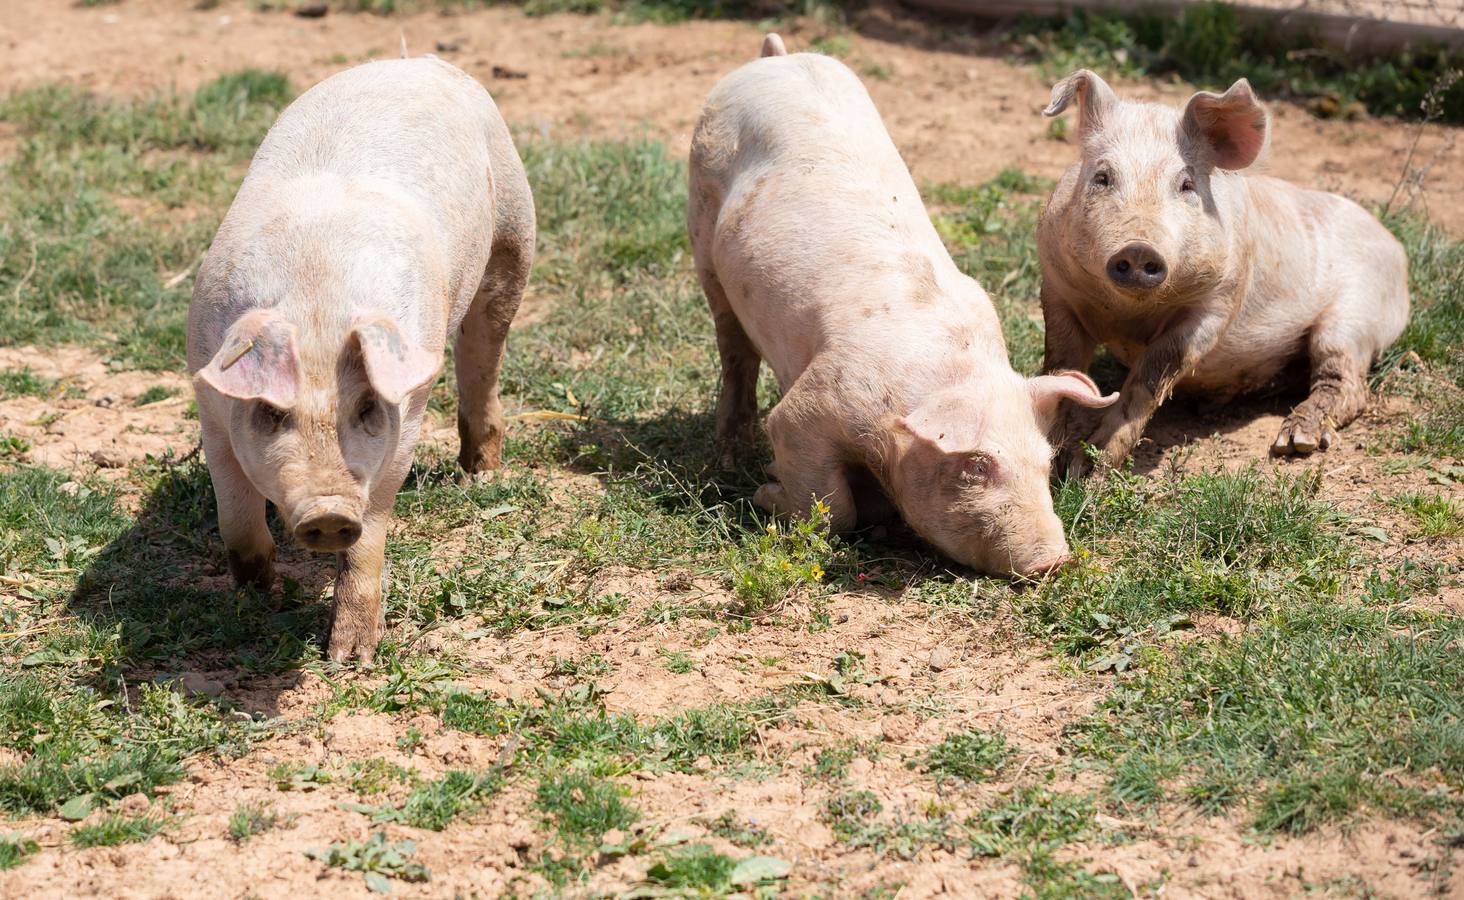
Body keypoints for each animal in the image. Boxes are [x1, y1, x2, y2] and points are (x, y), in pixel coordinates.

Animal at [185, 56, 535, 661]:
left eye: (368, 407)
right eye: (272, 413)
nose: (328, 512)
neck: (317, 306)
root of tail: (414, 59)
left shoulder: (407, 415)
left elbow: (371, 527)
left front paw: (351, 658)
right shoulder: (209, 397)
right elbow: (235, 513)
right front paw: (260, 598)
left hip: (515, 231)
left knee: (484, 353)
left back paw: (480, 479)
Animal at [691, 35, 1112, 576]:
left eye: (1044, 463)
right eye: (978, 465)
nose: (1053, 560)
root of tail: (774, 58)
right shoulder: (813, 405)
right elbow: (830, 505)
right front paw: (768, 491)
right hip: (701, 221)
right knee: (733, 349)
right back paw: (730, 455)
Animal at [1036, 69, 1411, 474]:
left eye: (1187, 184)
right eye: (1102, 177)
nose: (1138, 248)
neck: (1129, 313)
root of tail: (1396, 246)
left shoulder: (1216, 305)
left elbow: (1151, 377)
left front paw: (1089, 469)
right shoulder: (1055, 289)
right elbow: (1061, 367)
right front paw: (1056, 458)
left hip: (1357, 316)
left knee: (1346, 382)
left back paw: (1293, 443)